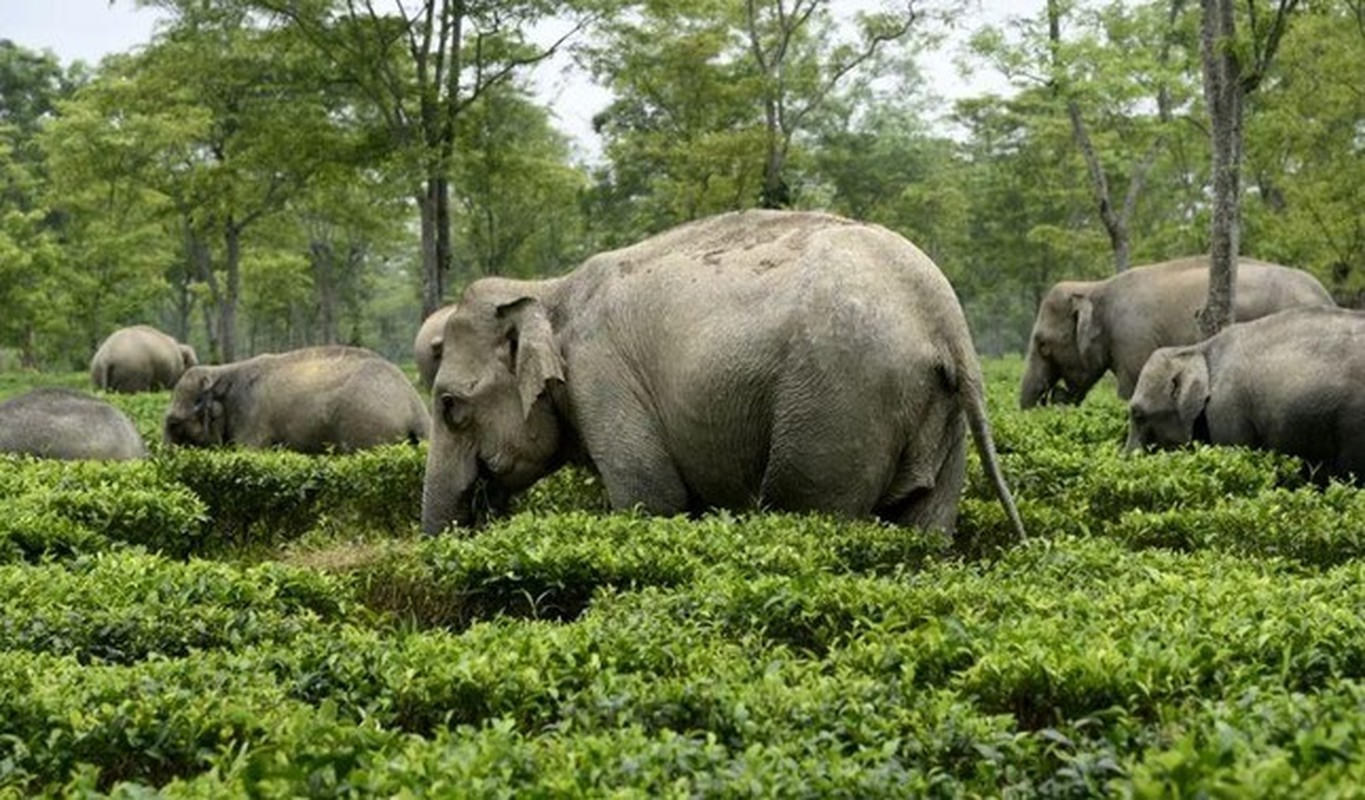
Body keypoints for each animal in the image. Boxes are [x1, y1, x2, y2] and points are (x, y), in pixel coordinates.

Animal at [423, 208, 1026, 537]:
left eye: (450, 406)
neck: (548, 288)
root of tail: (943, 316)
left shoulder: (603, 378)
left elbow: (652, 498)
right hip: (936, 417)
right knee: (925, 521)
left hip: (839, 400)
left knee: (810, 507)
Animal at [1026, 255, 1332, 404]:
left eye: (1043, 345)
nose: (1055, 396)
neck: (1096, 286)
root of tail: (1326, 296)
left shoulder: (1133, 339)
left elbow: (1129, 389)